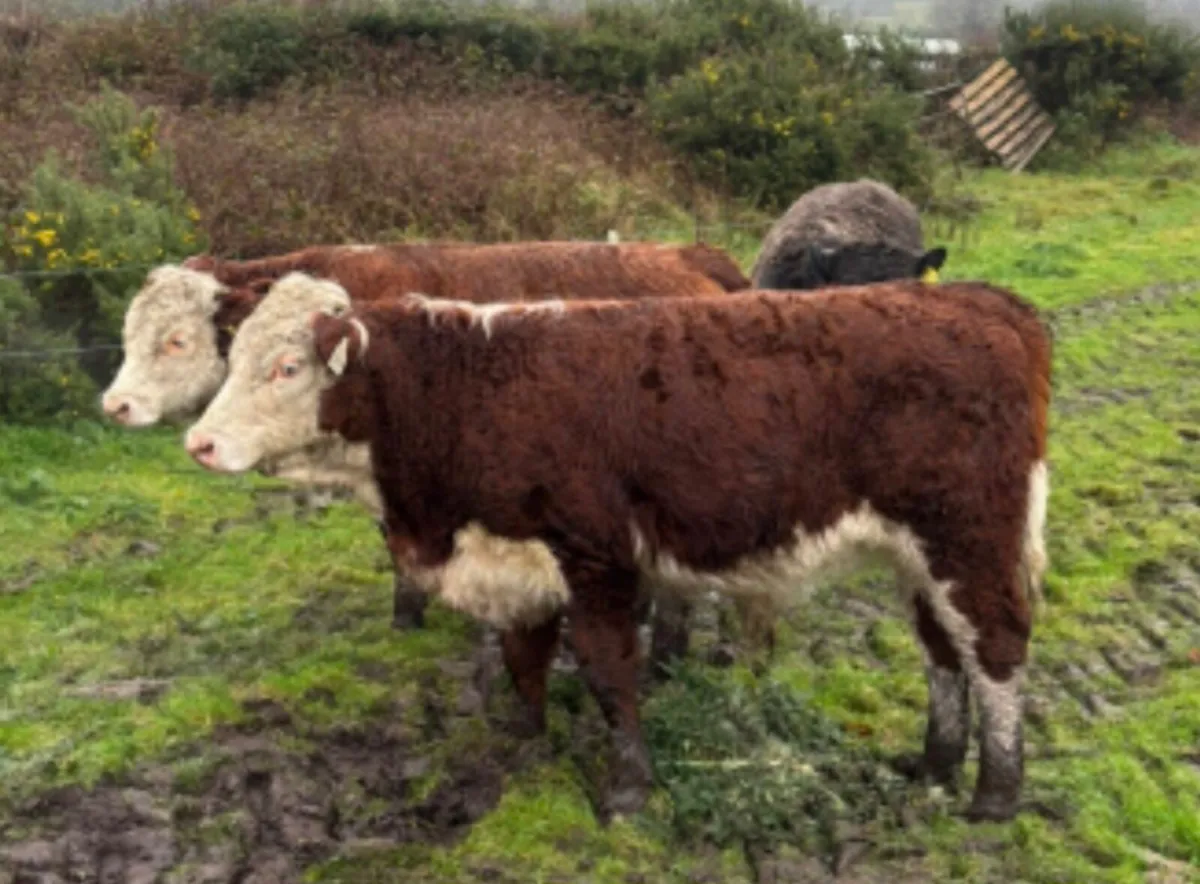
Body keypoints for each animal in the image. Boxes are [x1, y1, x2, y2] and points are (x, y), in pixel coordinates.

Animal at [184, 272, 1052, 824]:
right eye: (233, 356)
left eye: (286, 366)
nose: (199, 444)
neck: (469, 391)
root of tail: (983, 302)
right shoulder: (516, 556)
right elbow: (523, 654)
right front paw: (523, 735)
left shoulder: (595, 552)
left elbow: (606, 668)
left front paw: (628, 788)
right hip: (923, 555)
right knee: (942, 650)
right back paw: (934, 765)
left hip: (969, 539)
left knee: (996, 650)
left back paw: (995, 795)